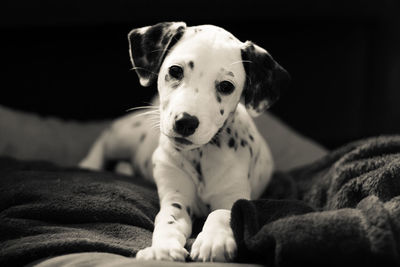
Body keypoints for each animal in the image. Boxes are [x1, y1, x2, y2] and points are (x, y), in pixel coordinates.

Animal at [79, 22, 290, 262]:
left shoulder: (233, 197)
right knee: (106, 135)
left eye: (226, 86)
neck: (201, 155)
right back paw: (89, 164)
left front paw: (213, 241)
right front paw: (162, 247)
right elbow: (167, 220)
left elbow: (222, 214)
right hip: (127, 136)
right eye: (175, 71)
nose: (185, 122)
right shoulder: (176, 198)